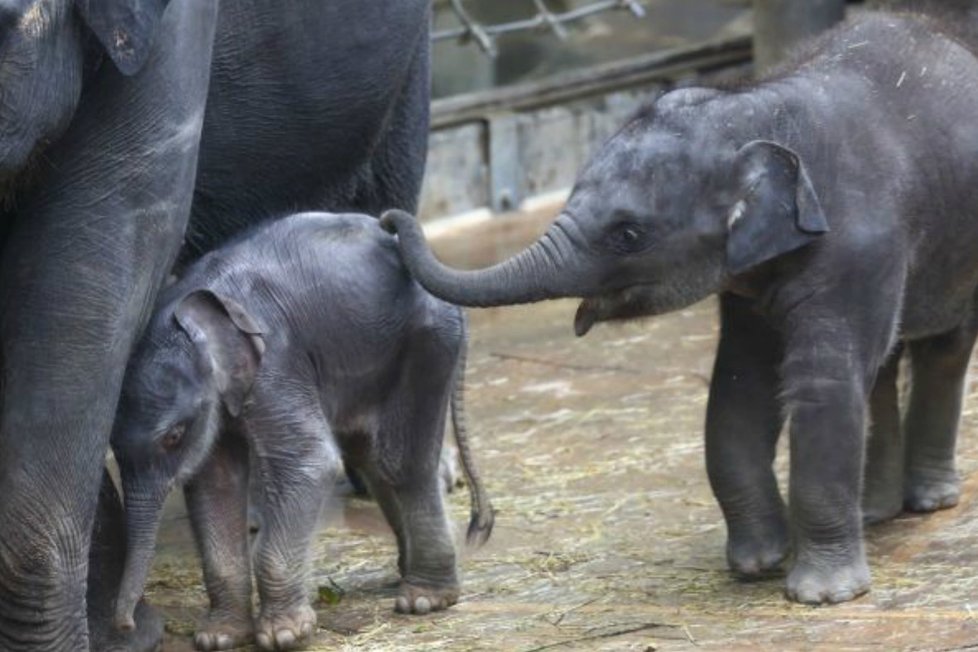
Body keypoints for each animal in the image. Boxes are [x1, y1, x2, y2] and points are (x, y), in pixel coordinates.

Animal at [112, 211, 496, 648]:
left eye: (173, 436)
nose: (125, 626)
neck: (189, 312)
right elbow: (215, 483)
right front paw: (220, 637)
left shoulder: (276, 362)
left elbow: (308, 462)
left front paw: (284, 635)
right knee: (370, 455)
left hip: (427, 341)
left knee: (401, 462)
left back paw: (425, 599)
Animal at [380, 8, 978, 608]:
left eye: (628, 234)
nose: (389, 221)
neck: (763, 111)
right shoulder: (747, 280)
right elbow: (739, 385)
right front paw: (756, 563)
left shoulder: (858, 248)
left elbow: (822, 387)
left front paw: (821, 596)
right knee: (883, 365)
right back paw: (877, 512)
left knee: (942, 351)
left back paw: (928, 502)